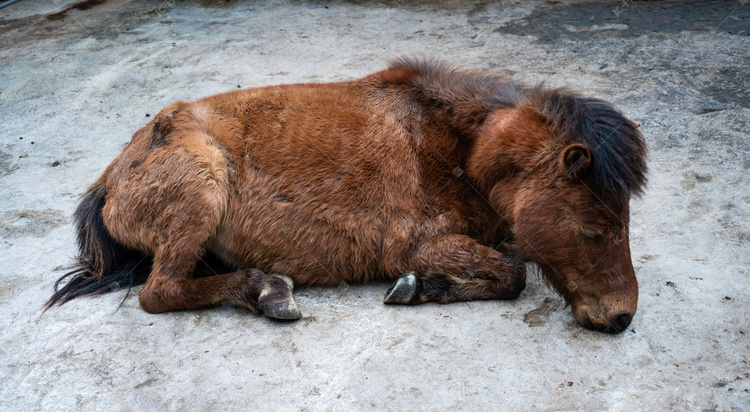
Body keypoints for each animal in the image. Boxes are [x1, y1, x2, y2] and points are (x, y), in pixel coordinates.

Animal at [45, 58, 648, 334]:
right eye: (594, 227)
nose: (621, 317)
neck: (450, 143)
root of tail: (112, 175)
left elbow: (512, 261)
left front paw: (431, 287)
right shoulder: (417, 244)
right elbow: (513, 275)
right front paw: (421, 287)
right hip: (201, 190)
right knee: (159, 292)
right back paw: (267, 291)